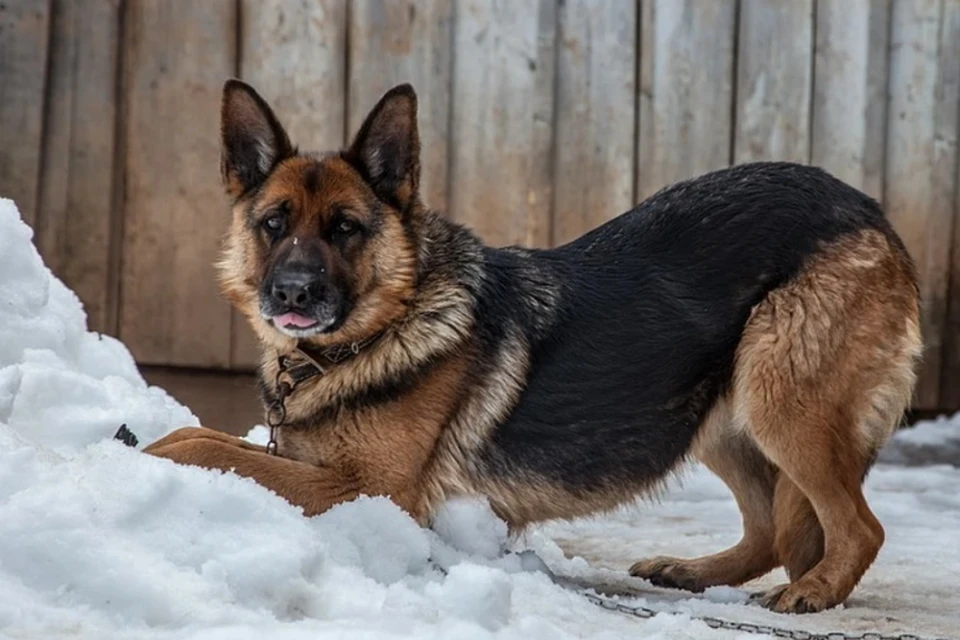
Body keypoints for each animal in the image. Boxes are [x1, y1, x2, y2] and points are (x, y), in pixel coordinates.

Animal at [142, 80, 924, 616]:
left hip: (776, 394)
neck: (386, 326)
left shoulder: (370, 491)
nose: (294, 295)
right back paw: (691, 572)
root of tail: (866, 207)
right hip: (713, 406)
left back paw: (814, 592)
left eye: (345, 228)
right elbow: (197, 435)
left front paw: (134, 457)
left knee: (859, 528)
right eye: (274, 223)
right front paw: (139, 448)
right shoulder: (308, 461)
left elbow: (205, 446)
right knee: (769, 532)